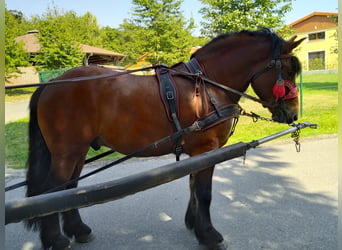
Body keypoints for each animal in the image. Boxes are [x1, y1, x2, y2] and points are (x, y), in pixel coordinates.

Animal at [26, 28, 304, 248]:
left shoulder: (198, 153)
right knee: (52, 190)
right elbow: (204, 192)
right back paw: (56, 239)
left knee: (69, 188)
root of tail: (50, 85)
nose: (292, 114)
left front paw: (194, 224)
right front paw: (209, 234)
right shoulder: (207, 149)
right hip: (66, 151)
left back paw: (78, 230)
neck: (207, 86)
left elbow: (193, 186)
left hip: (78, 150)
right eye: (289, 71)